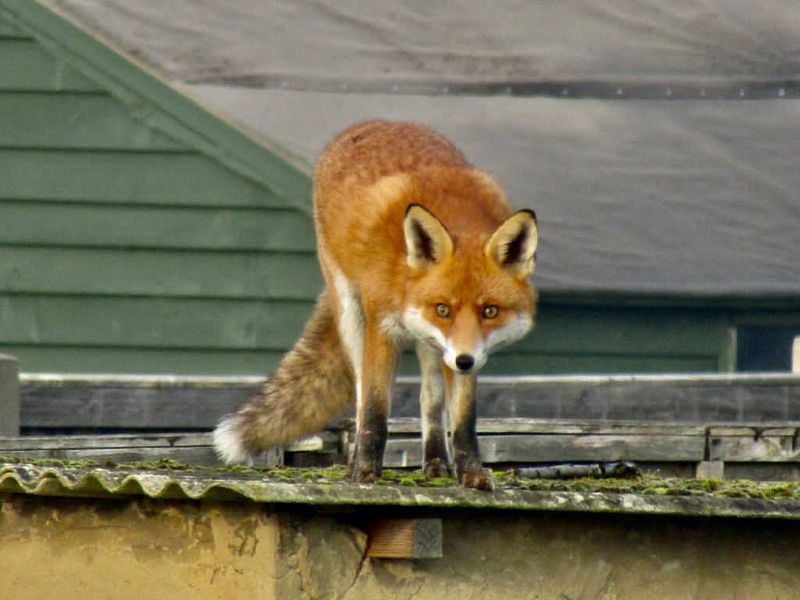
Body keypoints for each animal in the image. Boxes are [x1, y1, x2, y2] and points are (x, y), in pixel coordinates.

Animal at [212, 119, 536, 490]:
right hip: (352, 313)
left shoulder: (459, 350)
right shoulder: (382, 327)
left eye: (490, 311)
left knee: (430, 399)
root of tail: (374, 124)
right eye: (444, 309)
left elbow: (463, 421)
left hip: (431, 345)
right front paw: (365, 472)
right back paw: (355, 461)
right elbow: (375, 410)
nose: (464, 361)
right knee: (360, 394)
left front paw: (470, 473)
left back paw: (436, 463)